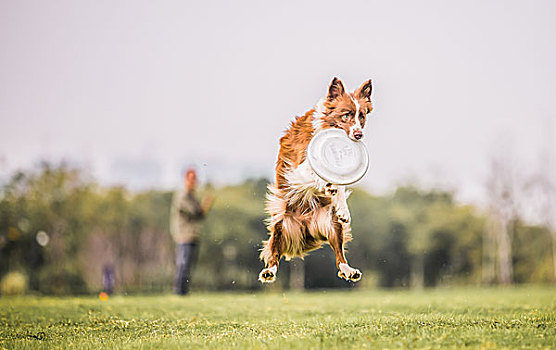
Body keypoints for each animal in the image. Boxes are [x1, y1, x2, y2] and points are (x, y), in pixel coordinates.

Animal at [260, 77, 374, 284]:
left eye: (361, 116)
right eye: (346, 115)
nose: (358, 135)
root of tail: (305, 229)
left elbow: (340, 188)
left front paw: (343, 207)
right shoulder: (298, 167)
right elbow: (315, 172)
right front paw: (327, 185)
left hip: (332, 222)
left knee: (339, 254)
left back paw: (349, 270)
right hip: (280, 220)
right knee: (274, 251)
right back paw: (269, 271)